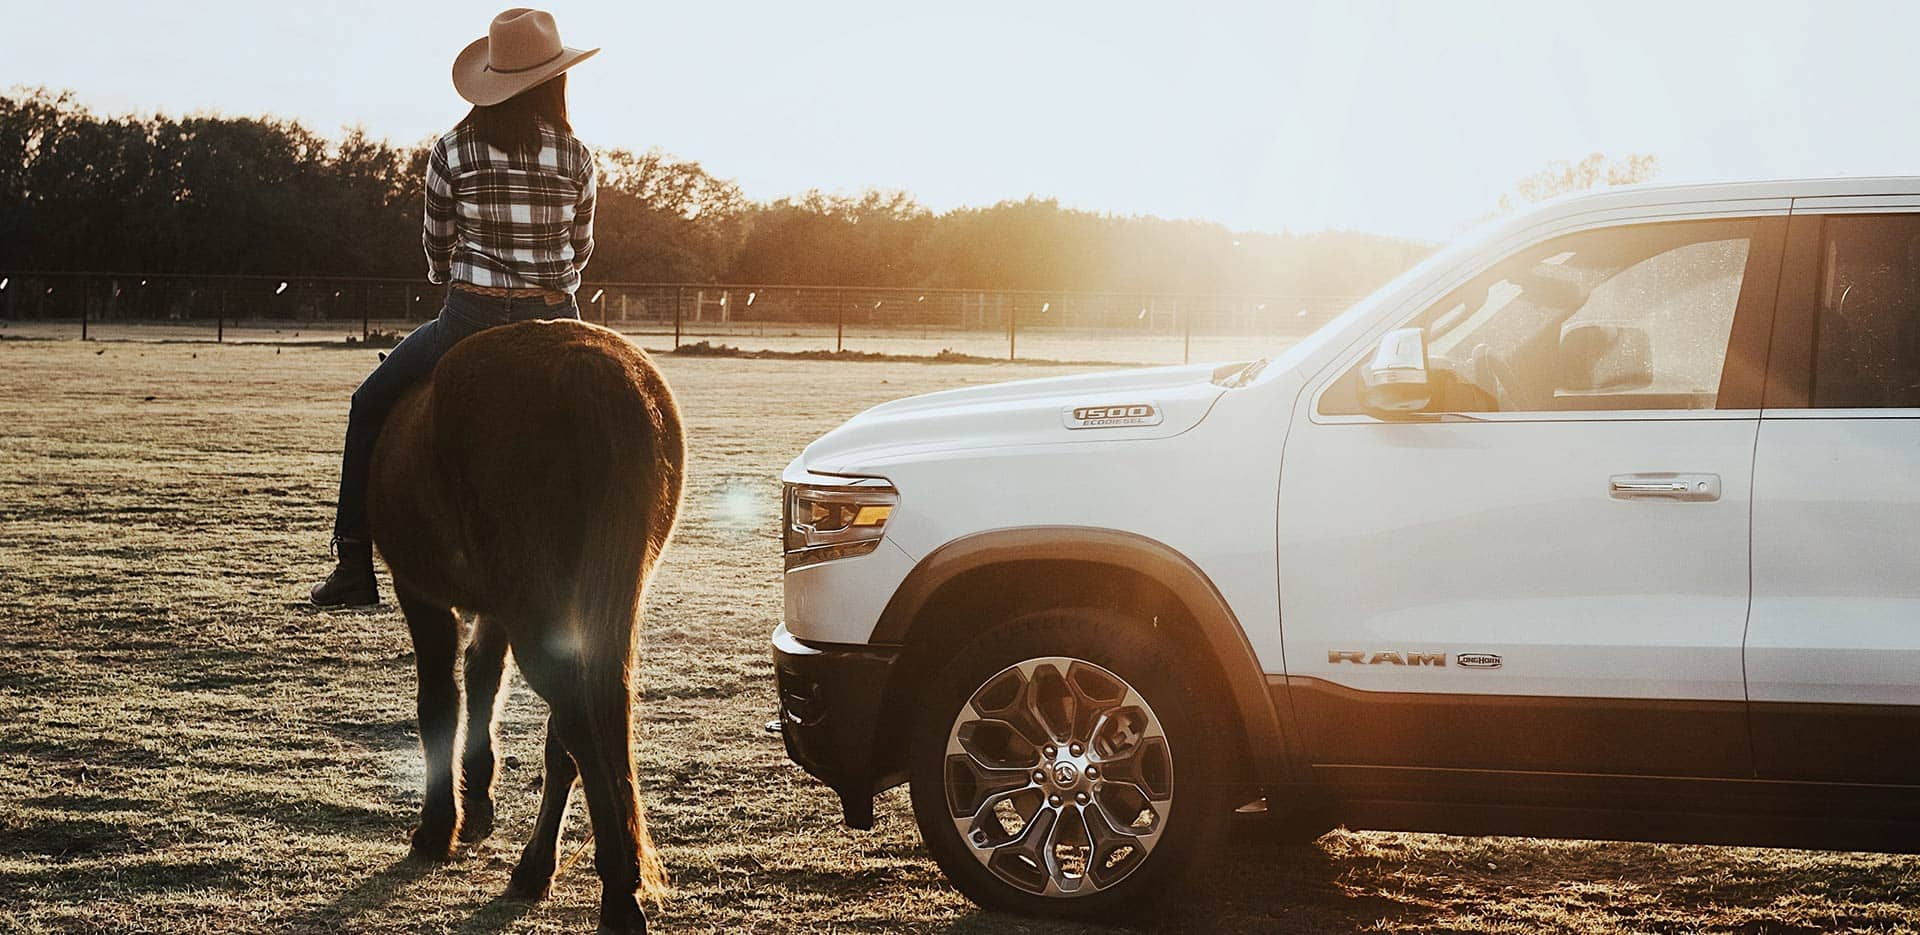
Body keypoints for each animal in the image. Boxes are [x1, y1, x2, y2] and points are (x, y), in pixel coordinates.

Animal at [364, 318, 683, 933]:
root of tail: (587, 367)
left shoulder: (420, 591)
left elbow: (440, 700)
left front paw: (438, 828)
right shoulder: (496, 607)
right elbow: (484, 681)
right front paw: (478, 799)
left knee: (576, 718)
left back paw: (617, 892)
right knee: (581, 721)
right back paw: (540, 869)